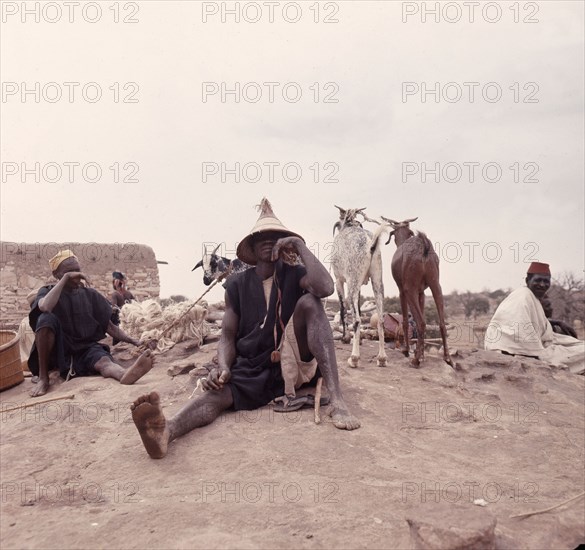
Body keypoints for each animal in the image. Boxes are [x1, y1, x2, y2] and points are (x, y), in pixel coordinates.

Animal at [328, 209, 388, 368]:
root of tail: (370, 243)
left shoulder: (339, 280)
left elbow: (343, 308)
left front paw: (345, 337)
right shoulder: (359, 285)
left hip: (353, 280)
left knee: (356, 319)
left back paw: (354, 358)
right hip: (377, 280)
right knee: (380, 319)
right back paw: (381, 358)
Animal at [380, 218, 454, 368]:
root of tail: (423, 245)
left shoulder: (402, 291)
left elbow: (405, 320)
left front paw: (407, 350)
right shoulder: (422, 293)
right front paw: (423, 354)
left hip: (410, 289)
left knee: (421, 322)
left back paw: (416, 360)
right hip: (436, 285)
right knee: (441, 323)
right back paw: (447, 357)